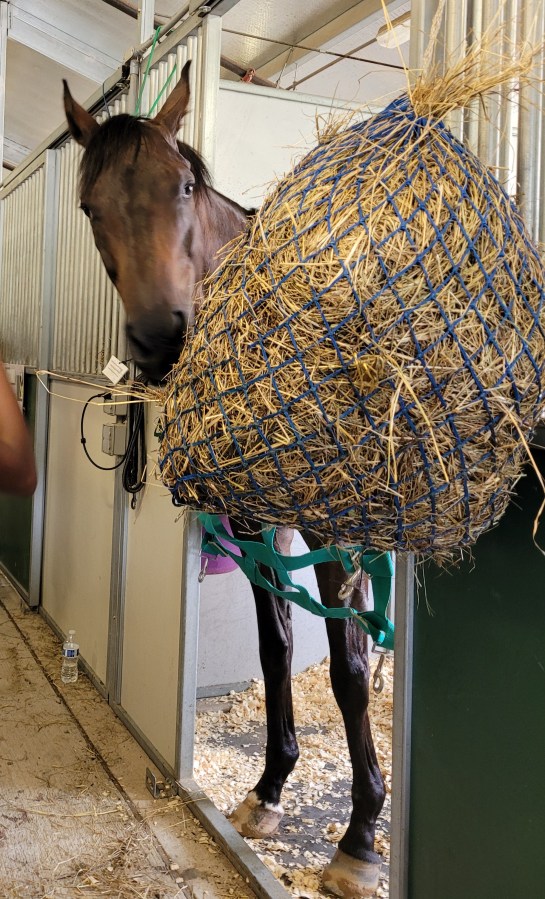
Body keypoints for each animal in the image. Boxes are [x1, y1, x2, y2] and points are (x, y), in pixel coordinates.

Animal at [63, 62, 386, 899]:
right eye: (89, 206)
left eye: (182, 185)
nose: (159, 338)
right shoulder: (254, 524)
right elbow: (276, 648)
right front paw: (269, 789)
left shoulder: (328, 528)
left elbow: (343, 668)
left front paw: (359, 838)